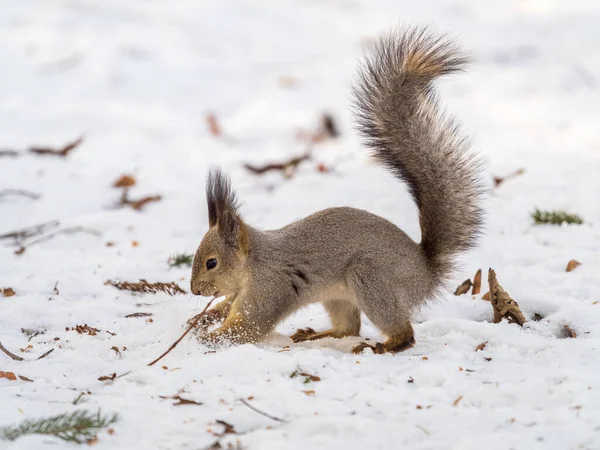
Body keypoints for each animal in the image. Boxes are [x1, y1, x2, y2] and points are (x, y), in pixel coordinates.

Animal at [190, 26, 486, 354]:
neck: (252, 262)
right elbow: (228, 306)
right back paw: (314, 335)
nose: (194, 290)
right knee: (348, 328)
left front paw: (212, 338)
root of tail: (425, 274)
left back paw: (384, 345)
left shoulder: (270, 287)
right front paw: (203, 318)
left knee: (403, 332)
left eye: (212, 262)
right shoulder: (242, 293)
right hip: (338, 296)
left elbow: (249, 326)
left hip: (372, 280)